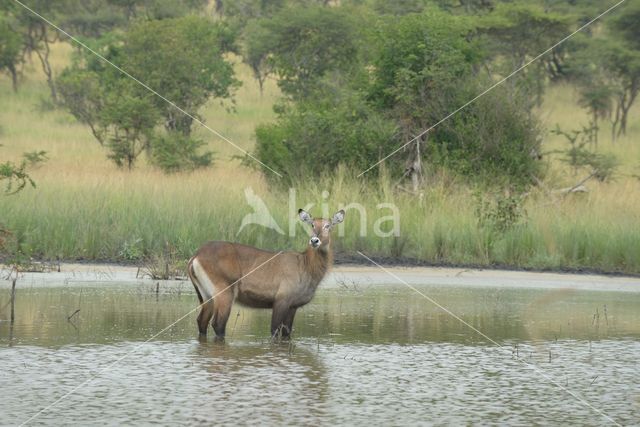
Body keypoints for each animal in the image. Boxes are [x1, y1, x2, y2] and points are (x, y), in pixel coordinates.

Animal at [186, 209, 344, 340]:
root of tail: (196, 255)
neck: (305, 265)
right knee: (218, 324)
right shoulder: (281, 301)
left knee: (201, 321)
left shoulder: (293, 306)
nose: (315, 240)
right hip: (224, 294)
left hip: (207, 297)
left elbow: (286, 333)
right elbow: (274, 331)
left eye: (328, 226)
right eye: (312, 224)